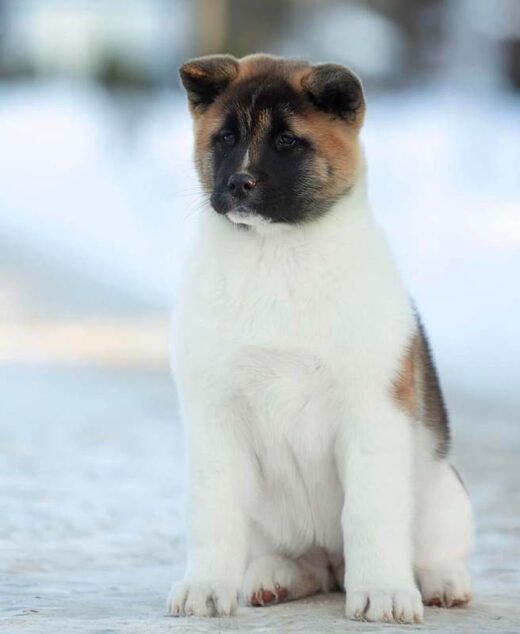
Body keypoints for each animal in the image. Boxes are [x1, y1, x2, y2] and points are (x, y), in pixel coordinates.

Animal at [168, 54, 476, 624]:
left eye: (288, 141)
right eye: (225, 137)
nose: (239, 183)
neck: (276, 254)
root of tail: (331, 563)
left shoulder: (371, 413)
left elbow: (369, 513)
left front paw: (382, 592)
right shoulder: (214, 419)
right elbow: (213, 512)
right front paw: (205, 586)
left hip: (443, 490)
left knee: (434, 551)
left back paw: (442, 582)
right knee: (298, 562)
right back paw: (271, 578)